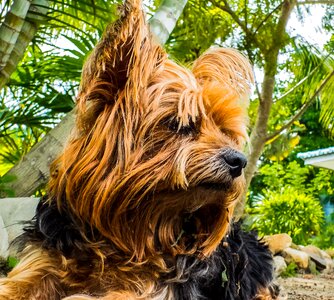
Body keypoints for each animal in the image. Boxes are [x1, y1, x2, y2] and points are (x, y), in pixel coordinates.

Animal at [0, 1, 278, 298]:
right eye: (179, 124)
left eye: (225, 132)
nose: (239, 161)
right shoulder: (43, 260)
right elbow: (19, 283)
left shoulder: (152, 286)